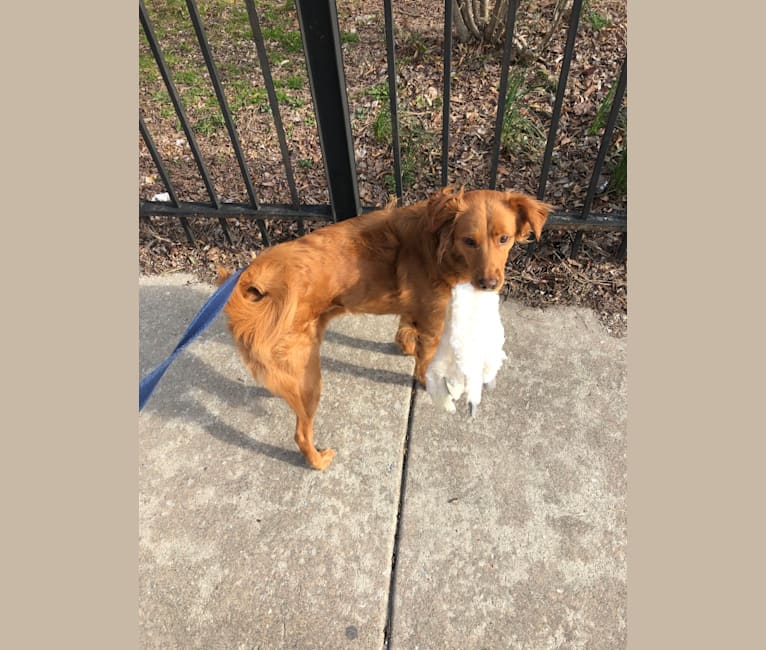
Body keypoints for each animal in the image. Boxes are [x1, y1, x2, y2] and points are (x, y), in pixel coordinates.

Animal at [219, 185, 548, 468]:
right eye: (469, 241)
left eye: (504, 239)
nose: (489, 284)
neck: (438, 247)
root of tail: (252, 284)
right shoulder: (433, 324)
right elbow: (425, 361)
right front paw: (426, 380)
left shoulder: (415, 310)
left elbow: (405, 329)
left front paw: (405, 344)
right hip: (308, 376)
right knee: (301, 432)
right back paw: (317, 461)